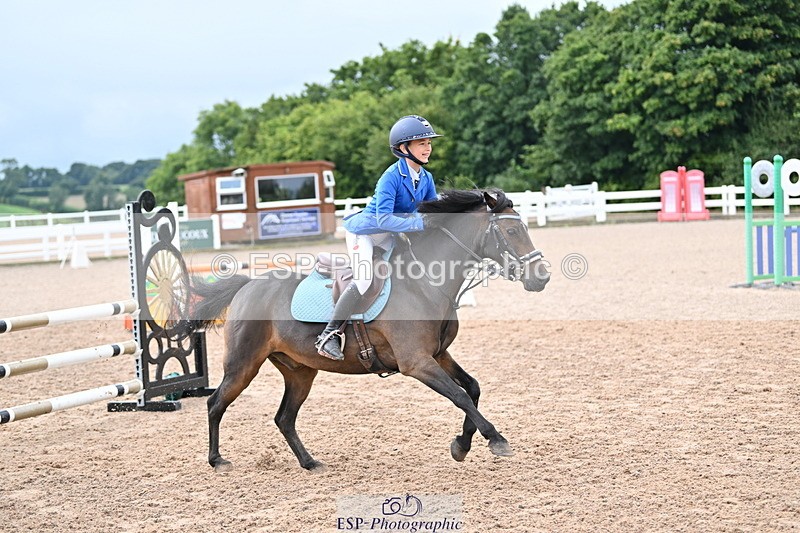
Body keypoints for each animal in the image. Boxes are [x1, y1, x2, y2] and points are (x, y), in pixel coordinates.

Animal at [189, 189, 550, 472]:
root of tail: (247, 286)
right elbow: (460, 396)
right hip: (243, 364)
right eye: (511, 231)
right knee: (216, 404)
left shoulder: (438, 354)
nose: (541, 277)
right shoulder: (417, 362)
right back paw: (217, 460)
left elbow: (472, 389)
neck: (425, 283)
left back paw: (310, 462)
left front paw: (461, 445)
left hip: (299, 371)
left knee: (285, 418)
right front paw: (495, 439)